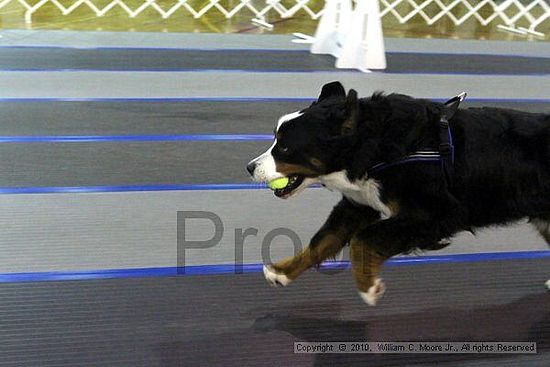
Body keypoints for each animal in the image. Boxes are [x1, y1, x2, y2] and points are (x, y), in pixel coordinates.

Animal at [247, 82, 550, 306]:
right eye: (275, 140)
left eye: (285, 147)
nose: (250, 167)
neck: (378, 147)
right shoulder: (359, 204)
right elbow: (322, 241)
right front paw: (282, 272)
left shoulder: (436, 214)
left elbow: (362, 241)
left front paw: (369, 286)